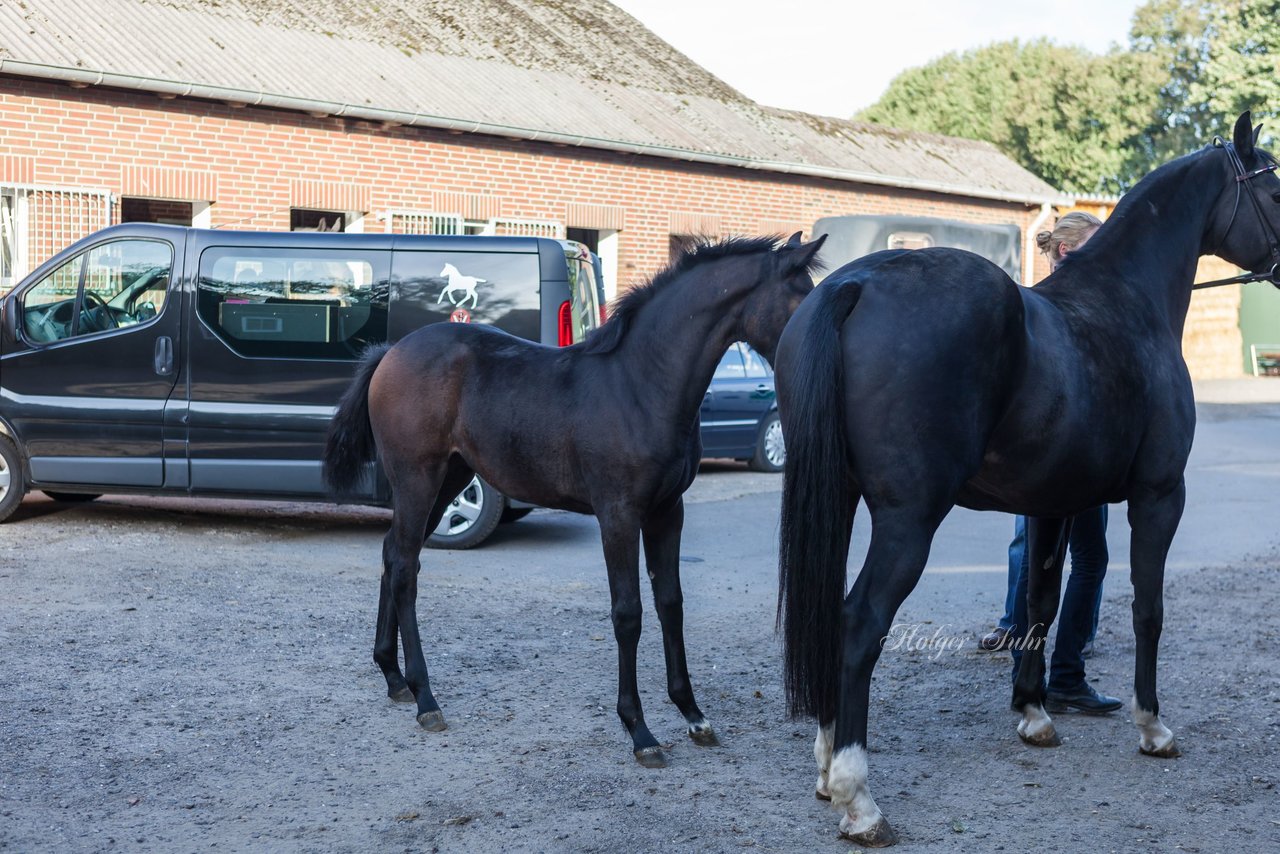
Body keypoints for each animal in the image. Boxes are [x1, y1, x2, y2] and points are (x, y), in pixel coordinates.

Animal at [327, 231, 829, 768]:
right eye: (800, 295)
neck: (641, 386)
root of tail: (391, 351)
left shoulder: (667, 511)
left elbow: (671, 603)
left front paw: (694, 715)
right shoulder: (618, 514)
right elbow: (627, 612)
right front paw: (640, 731)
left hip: (448, 479)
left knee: (394, 553)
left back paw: (394, 678)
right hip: (417, 477)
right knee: (404, 568)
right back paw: (426, 698)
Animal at [768, 113, 1280, 850]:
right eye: (1274, 187)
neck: (1126, 305)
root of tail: (850, 285)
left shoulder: (1051, 504)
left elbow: (1039, 603)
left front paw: (1035, 715)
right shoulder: (1160, 497)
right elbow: (1148, 609)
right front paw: (1153, 727)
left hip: (839, 500)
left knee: (833, 621)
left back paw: (825, 766)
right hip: (908, 519)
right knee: (859, 623)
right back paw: (857, 797)